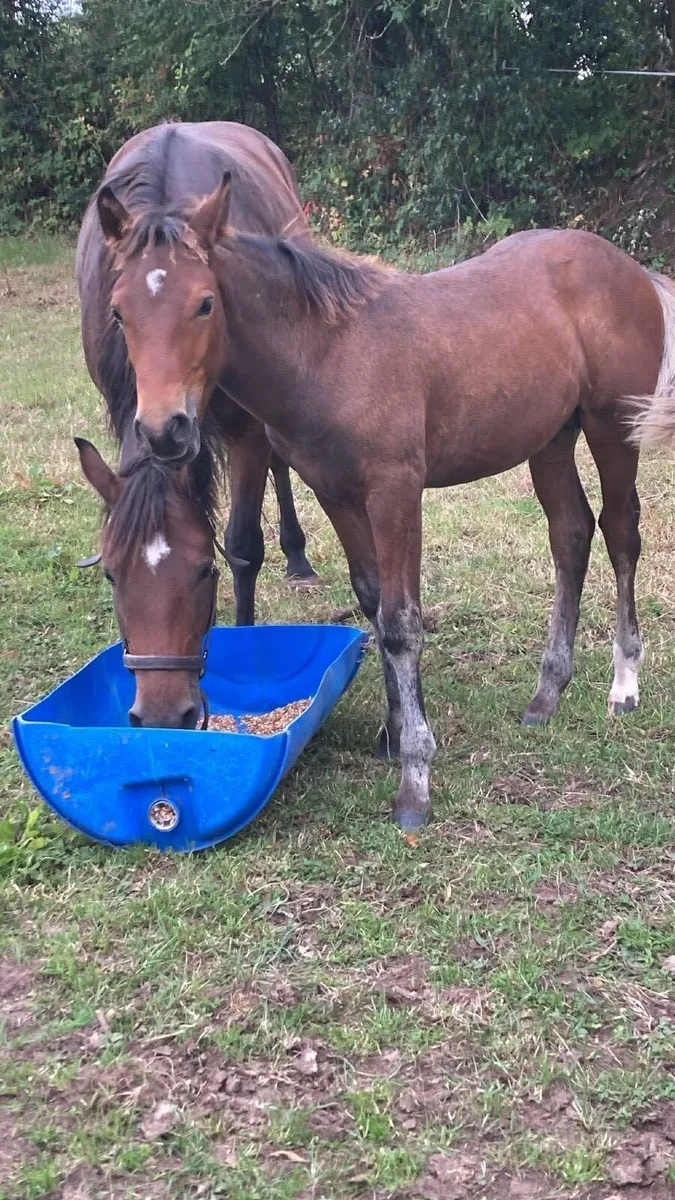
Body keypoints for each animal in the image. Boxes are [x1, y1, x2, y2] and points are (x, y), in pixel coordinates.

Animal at [75, 121, 320, 634]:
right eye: (112, 576)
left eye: (204, 570)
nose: (163, 429)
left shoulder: (249, 430)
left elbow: (244, 547)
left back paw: (298, 558)